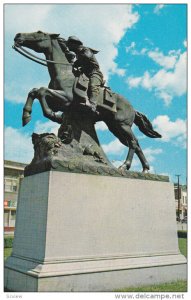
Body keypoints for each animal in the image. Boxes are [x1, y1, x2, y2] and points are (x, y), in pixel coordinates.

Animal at [13, 30, 161, 172]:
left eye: (40, 32)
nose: (18, 35)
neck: (64, 73)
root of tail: (133, 109)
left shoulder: (66, 99)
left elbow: (42, 91)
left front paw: (54, 116)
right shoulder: (58, 102)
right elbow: (34, 91)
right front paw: (26, 116)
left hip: (122, 125)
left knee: (133, 142)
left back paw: (125, 166)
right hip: (115, 127)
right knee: (135, 144)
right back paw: (144, 169)